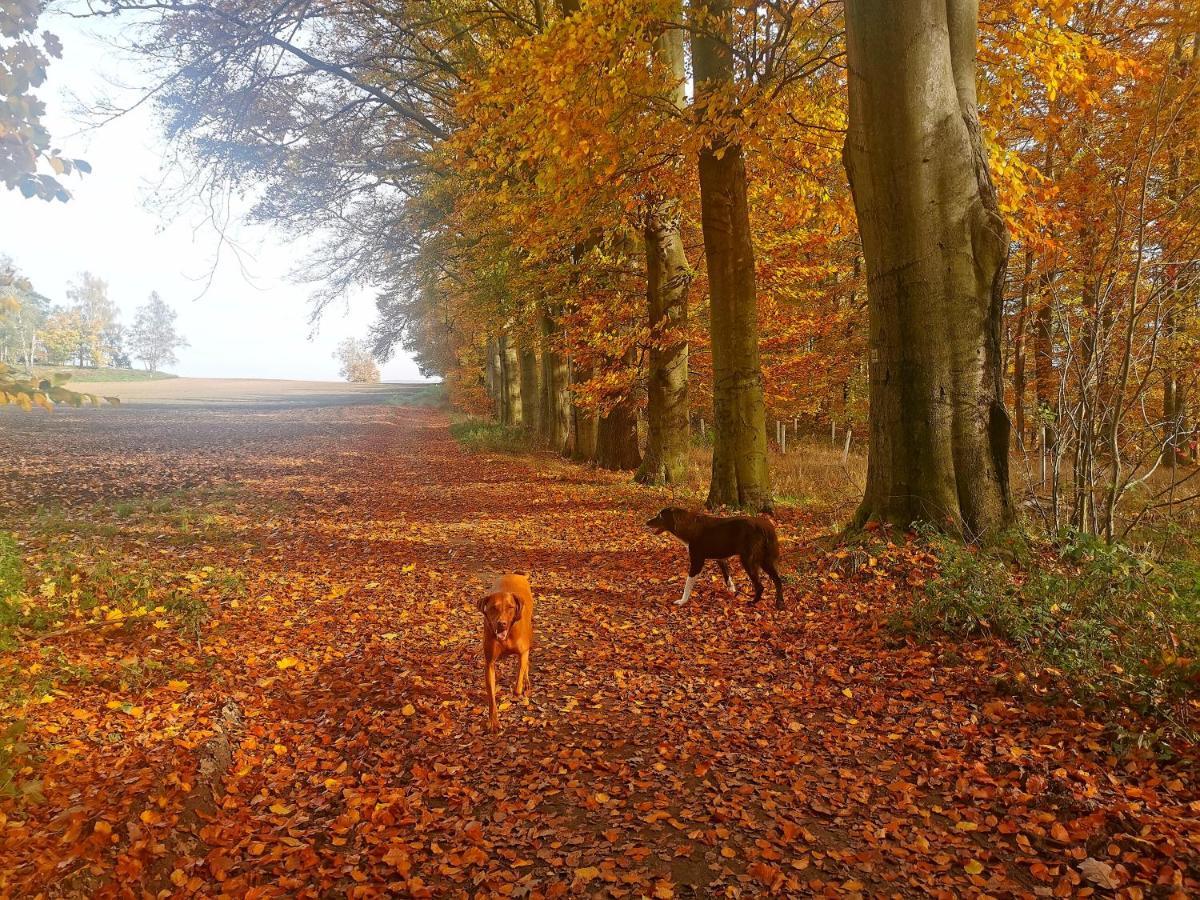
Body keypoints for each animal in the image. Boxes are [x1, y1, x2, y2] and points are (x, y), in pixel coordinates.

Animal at [477, 578, 535, 734]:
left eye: (510, 607)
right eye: (493, 607)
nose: (501, 624)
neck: (507, 636)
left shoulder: (523, 652)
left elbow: (519, 676)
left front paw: (517, 691)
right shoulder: (489, 663)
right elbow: (491, 696)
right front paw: (494, 722)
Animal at [648, 511, 787, 609]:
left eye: (660, 516)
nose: (646, 522)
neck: (689, 526)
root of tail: (766, 526)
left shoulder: (697, 562)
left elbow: (688, 584)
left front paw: (682, 601)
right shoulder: (720, 559)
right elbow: (727, 576)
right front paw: (732, 590)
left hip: (748, 560)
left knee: (760, 585)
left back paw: (753, 602)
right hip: (765, 561)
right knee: (778, 580)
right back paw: (779, 603)